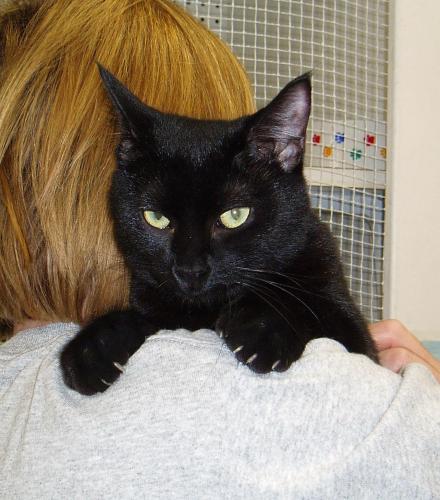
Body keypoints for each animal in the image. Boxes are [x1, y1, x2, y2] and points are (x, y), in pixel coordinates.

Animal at [60, 65, 377, 395]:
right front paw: (94, 346)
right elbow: (141, 318)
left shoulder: (348, 322)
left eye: (235, 216)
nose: (189, 270)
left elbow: (306, 312)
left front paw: (265, 330)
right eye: (156, 218)